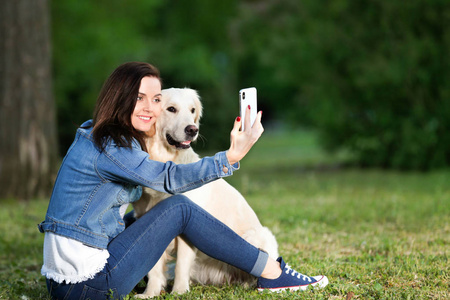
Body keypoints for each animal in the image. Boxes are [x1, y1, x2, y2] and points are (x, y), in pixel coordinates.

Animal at [132, 86, 278, 298]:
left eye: (192, 110)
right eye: (171, 109)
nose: (192, 129)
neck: (163, 159)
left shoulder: (186, 224)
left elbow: (181, 264)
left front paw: (179, 292)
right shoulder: (149, 220)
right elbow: (154, 269)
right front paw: (150, 293)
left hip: (257, 236)